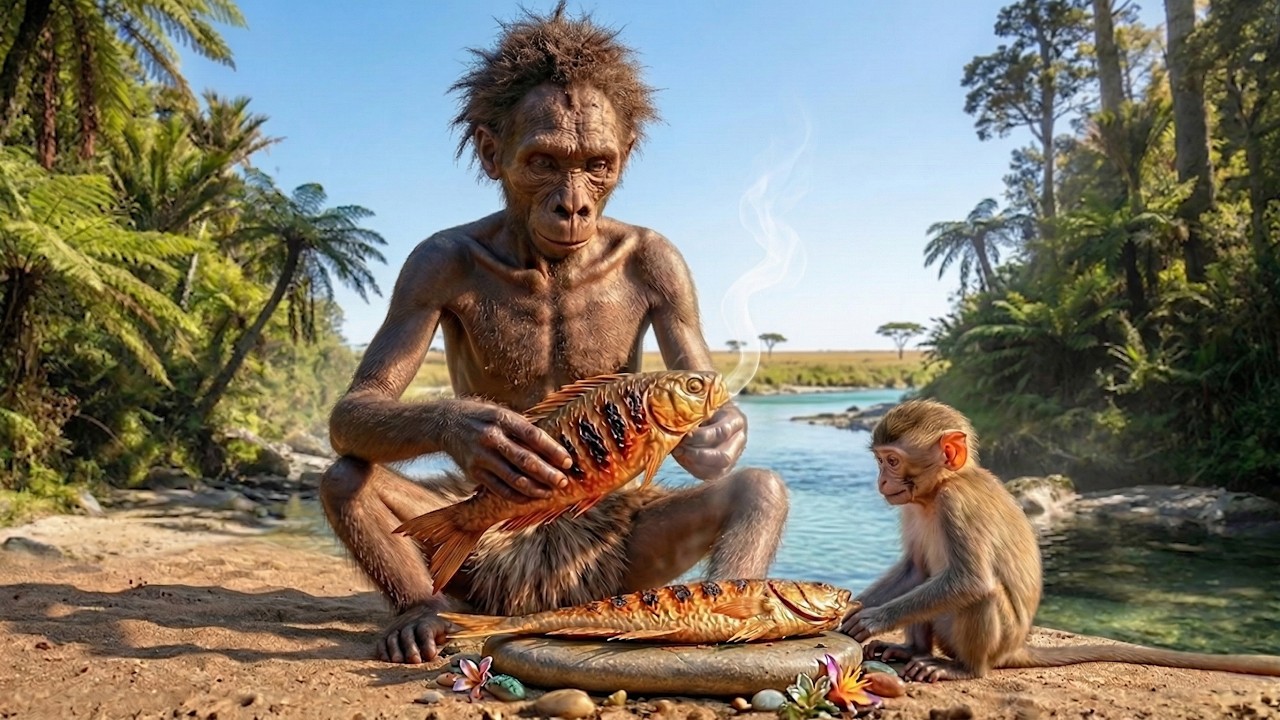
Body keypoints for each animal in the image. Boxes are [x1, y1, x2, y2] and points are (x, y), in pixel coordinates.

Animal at [840, 398, 1280, 682]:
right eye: (880, 461)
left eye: (892, 461)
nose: (881, 482)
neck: (940, 489)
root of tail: (1013, 648)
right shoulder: (912, 507)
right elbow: (914, 569)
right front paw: (851, 609)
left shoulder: (957, 504)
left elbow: (971, 580)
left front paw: (873, 619)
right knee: (928, 577)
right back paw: (913, 651)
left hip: (995, 640)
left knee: (980, 594)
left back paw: (960, 669)